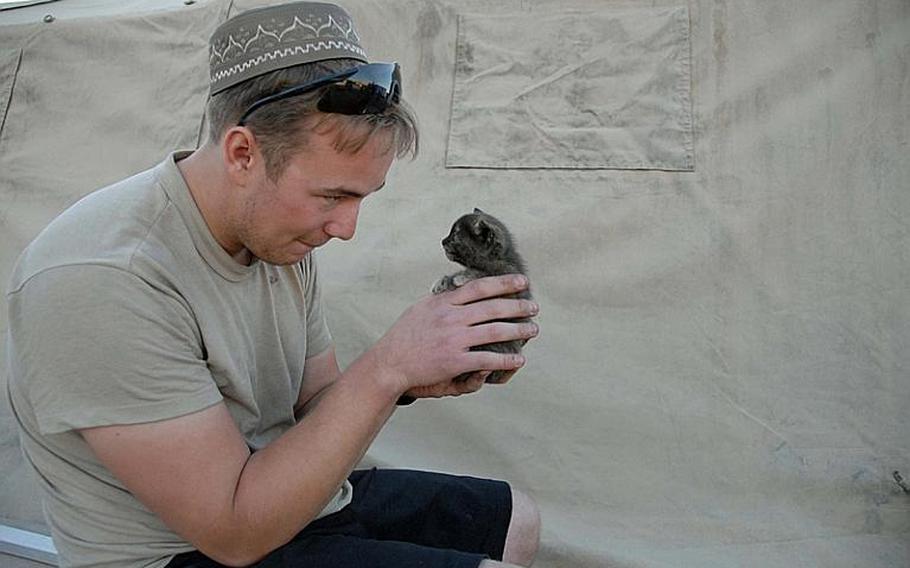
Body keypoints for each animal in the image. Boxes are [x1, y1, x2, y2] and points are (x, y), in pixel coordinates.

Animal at [434, 206, 536, 384]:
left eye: (455, 235)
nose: (443, 240)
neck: (498, 258)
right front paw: (442, 282)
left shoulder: (506, 280)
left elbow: (482, 273)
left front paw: (462, 277)